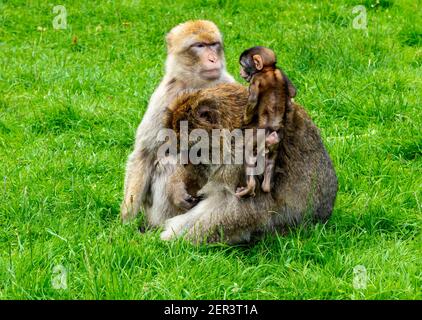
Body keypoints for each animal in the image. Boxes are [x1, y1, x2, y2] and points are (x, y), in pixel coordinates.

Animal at [120, 20, 236, 225]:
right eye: (199, 46)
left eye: (214, 44)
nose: (213, 59)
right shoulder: (165, 96)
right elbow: (145, 153)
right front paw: (126, 220)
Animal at [236, 46, 296, 198]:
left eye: (243, 65)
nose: (240, 71)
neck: (268, 70)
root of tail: (273, 133)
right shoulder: (281, 72)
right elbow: (292, 93)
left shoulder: (255, 79)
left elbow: (252, 101)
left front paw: (244, 120)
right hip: (276, 144)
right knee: (270, 162)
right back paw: (267, 186)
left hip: (259, 138)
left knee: (249, 152)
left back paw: (249, 188)